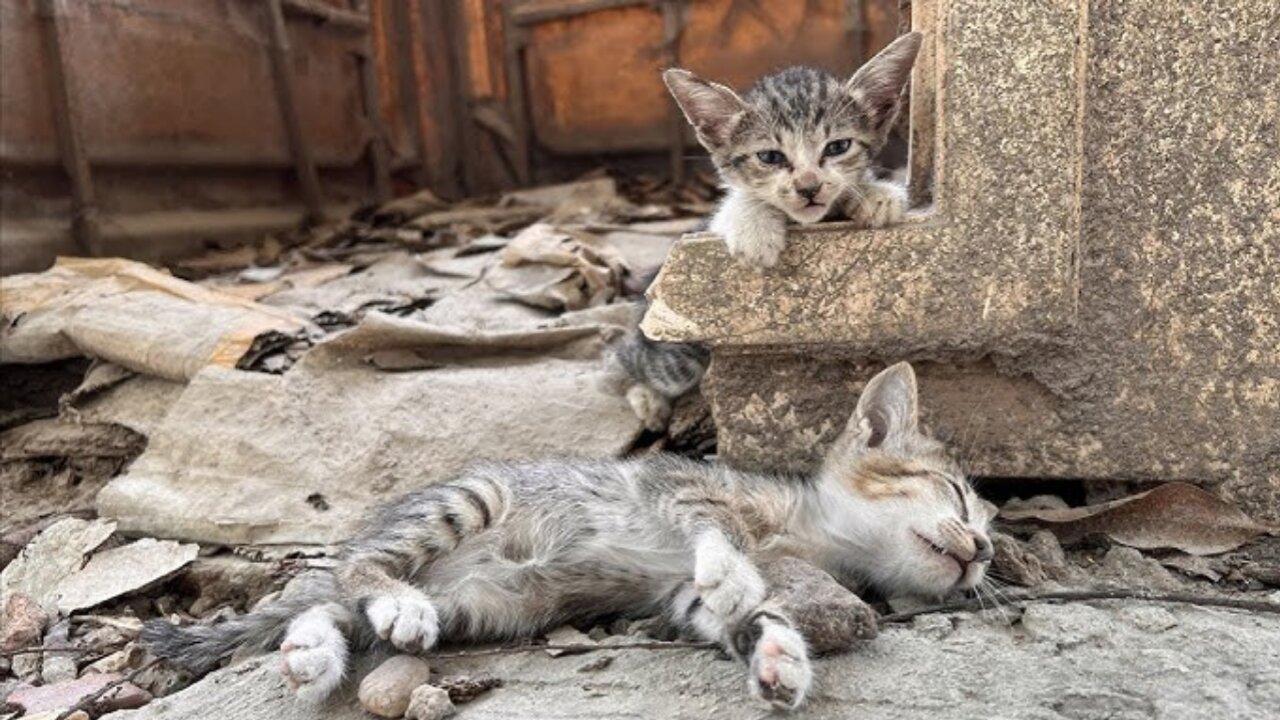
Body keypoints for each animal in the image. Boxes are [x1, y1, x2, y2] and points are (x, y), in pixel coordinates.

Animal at [145, 361, 993, 707]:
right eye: (957, 493)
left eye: (991, 533)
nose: (984, 552)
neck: (809, 533)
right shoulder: (681, 487)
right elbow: (717, 533)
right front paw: (736, 570)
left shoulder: (676, 596)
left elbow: (745, 615)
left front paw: (779, 654)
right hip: (467, 500)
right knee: (357, 570)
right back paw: (389, 606)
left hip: (483, 604)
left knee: (329, 602)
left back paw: (312, 654)